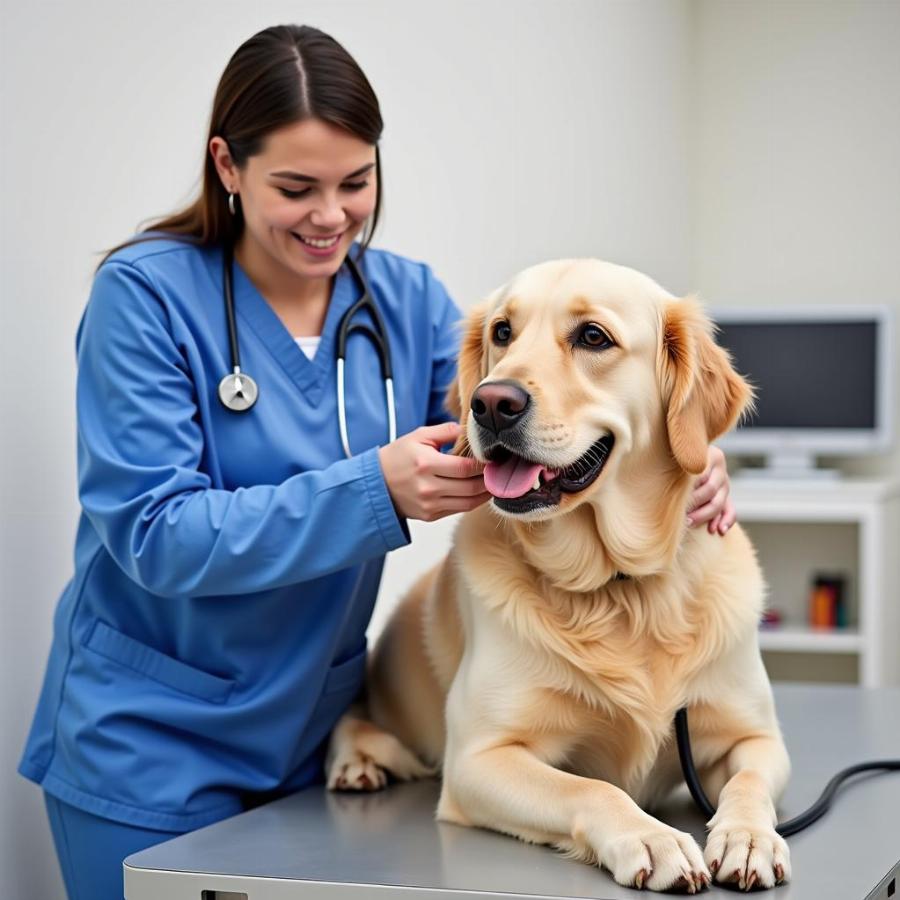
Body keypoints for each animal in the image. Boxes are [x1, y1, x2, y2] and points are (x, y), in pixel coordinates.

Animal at [326, 260, 792, 892]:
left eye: (593, 336)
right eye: (502, 332)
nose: (490, 402)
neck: (619, 588)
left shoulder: (756, 737)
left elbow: (748, 784)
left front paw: (747, 837)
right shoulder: (479, 758)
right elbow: (591, 788)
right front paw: (654, 839)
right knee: (350, 727)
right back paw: (360, 762)